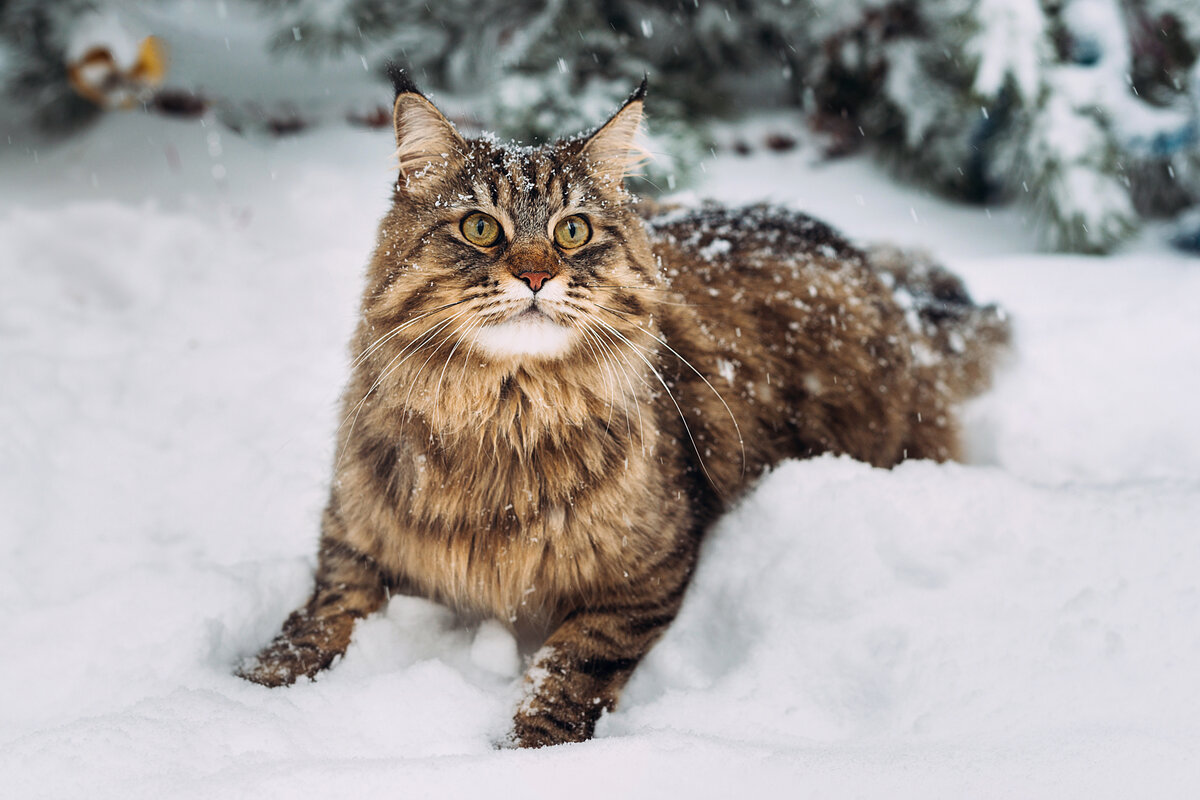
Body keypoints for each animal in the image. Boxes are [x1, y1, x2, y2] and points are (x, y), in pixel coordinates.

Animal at [238, 70, 1008, 753]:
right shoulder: (353, 544)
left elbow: (569, 667)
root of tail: (890, 289)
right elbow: (315, 623)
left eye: (573, 231)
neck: (501, 425)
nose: (535, 273)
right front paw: (251, 694)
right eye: (481, 227)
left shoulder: (645, 575)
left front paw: (526, 752)